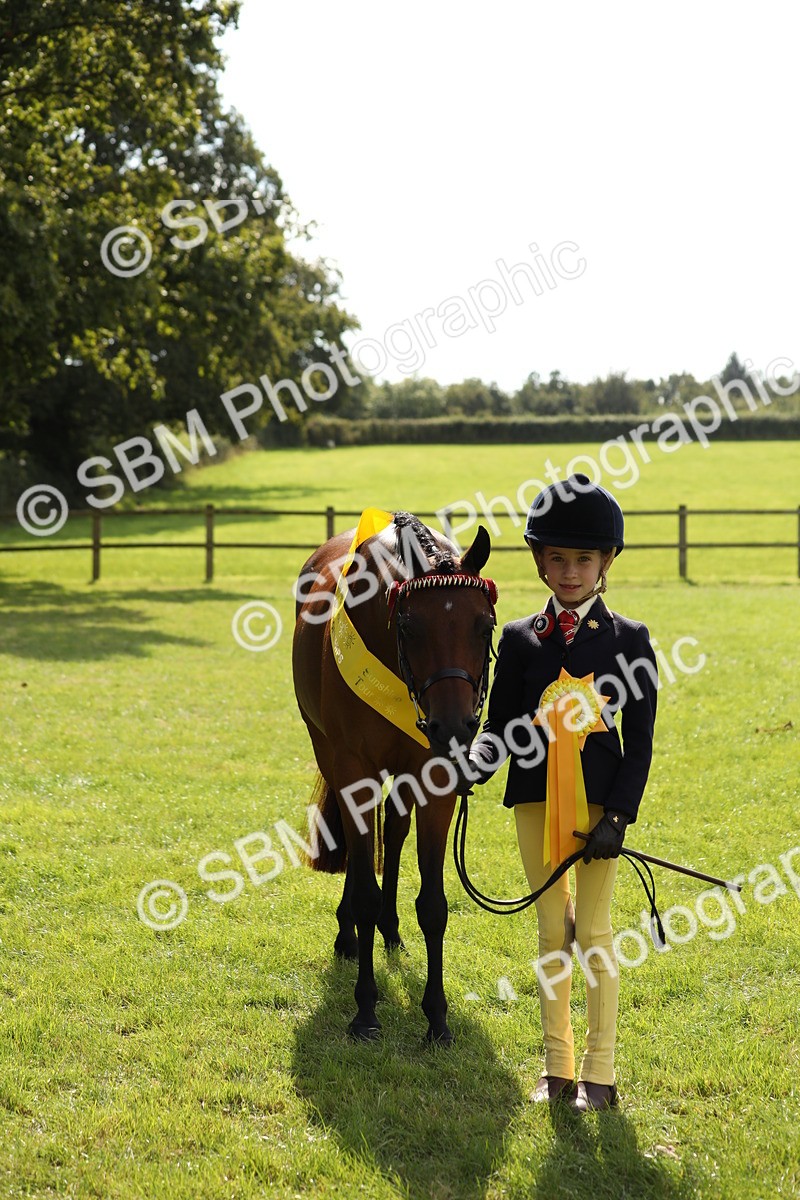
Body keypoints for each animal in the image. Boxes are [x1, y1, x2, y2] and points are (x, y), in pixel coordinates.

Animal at [292, 509, 495, 1043]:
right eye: (409, 624)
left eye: (484, 624)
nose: (453, 726)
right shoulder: (353, 771)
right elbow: (364, 889)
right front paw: (365, 1009)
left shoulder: (435, 776)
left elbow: (434, 904)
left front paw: (437, 1016)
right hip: (327, 752)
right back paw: (349, 933)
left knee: (396, 833)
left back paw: (390, 928)